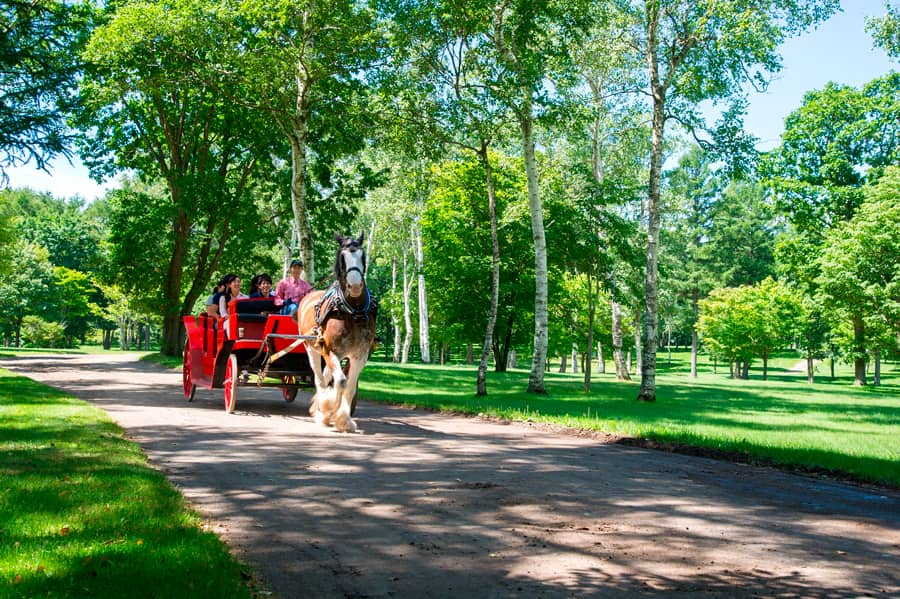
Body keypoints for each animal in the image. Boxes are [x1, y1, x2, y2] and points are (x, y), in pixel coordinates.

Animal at [298, 232, 376, 434]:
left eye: (362, 256)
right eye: (343, 258)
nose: (355, 286)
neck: (353, 311)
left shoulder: (360, 355)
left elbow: (350, 386)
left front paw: (344, 420)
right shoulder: (330, 350)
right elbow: (340, 381)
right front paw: (327, 409)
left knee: (326, 376)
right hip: (312, 348)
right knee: (319, 379)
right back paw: (322, 409)